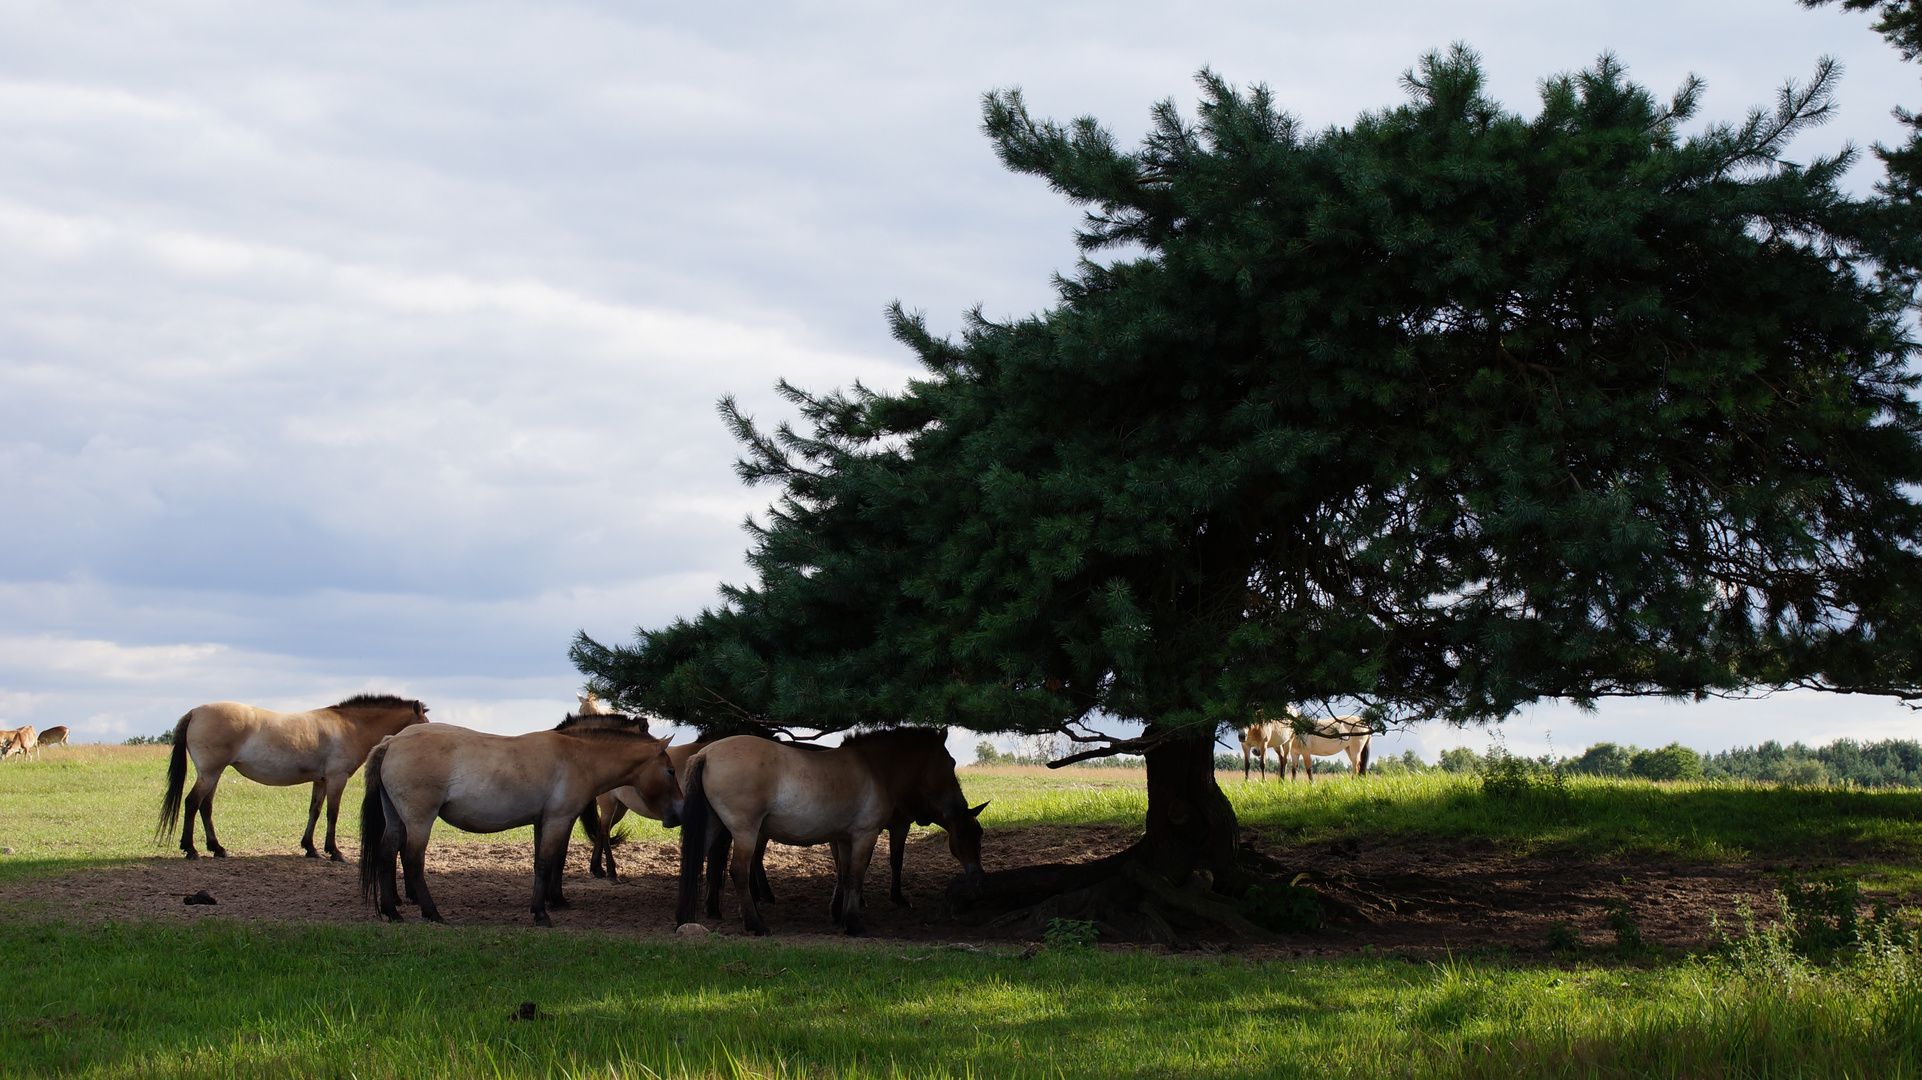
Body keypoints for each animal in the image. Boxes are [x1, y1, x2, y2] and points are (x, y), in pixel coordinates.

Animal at [156, 699, 428, 857]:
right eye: (422, 722)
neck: (349, 726)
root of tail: (194, 712)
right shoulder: (336, 779)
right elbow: (332, 814)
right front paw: (334, 851)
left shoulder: (320, 781)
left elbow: (314, 812)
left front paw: (310, 848)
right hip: (210, 772)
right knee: (192, 803)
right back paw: (191, 849)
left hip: (213, 774)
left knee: (205, 806)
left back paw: (217, 848)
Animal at [359, 707, 676, 926]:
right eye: (671, 771)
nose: (677, 813)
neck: (578, 755)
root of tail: (391, 742)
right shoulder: (558, 820)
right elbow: (549, 863)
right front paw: (543, 913)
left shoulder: (541, 822)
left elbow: (541, 864)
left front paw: (545, 902)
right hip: (419, 821)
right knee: (412, 861)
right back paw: (431, 912)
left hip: (396, 819)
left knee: (386, 855)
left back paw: (392, 911)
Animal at [676, 722, 984, 933]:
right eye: (951, 762)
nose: (958, 806)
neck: (875, 768)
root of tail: (706, 753)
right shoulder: (865, 835)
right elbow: (856, 876)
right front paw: (854, 924)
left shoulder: (844, 839)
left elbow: (845, 875)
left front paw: (842, 916)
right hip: (745, 831)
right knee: (739, 871)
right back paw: (755, 924)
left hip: (714, 826)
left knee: (695, 862)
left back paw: (687, 919)